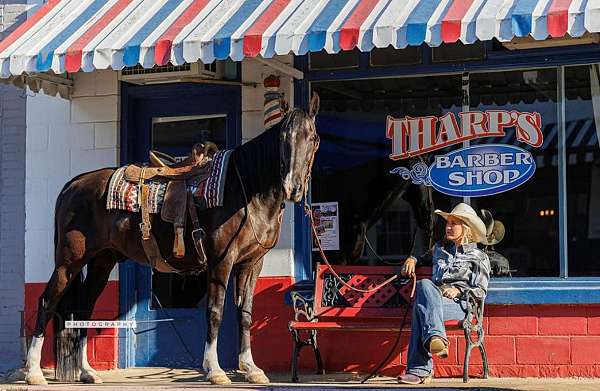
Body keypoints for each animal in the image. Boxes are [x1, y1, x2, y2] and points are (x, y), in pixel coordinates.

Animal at [22, 94, 324, 386]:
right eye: (283, 138)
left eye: (312, 137)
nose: (293, 187)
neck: (246, 190)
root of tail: (73, 184)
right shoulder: (221, 261)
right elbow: (215, 311)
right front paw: (215, 371)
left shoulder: (252, 263)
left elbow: (246, 313)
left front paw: (251, 369)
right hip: (70, 260)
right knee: (47, 301)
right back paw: (34, 373)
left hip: (101, 262)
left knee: (85, 307)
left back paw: (87, 372)